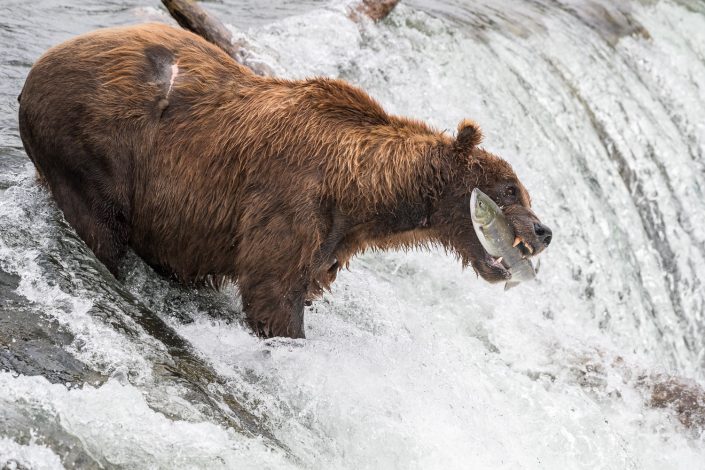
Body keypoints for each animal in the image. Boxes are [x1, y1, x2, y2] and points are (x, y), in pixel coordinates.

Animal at [16, 23, 552, 338]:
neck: (364, 191)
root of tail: (38, 66)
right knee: (102, 226)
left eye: (524, 191)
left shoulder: (330, 239)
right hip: (92, 146)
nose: (544, 231)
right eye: (510, 189)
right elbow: (273, 290)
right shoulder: (292, 200)